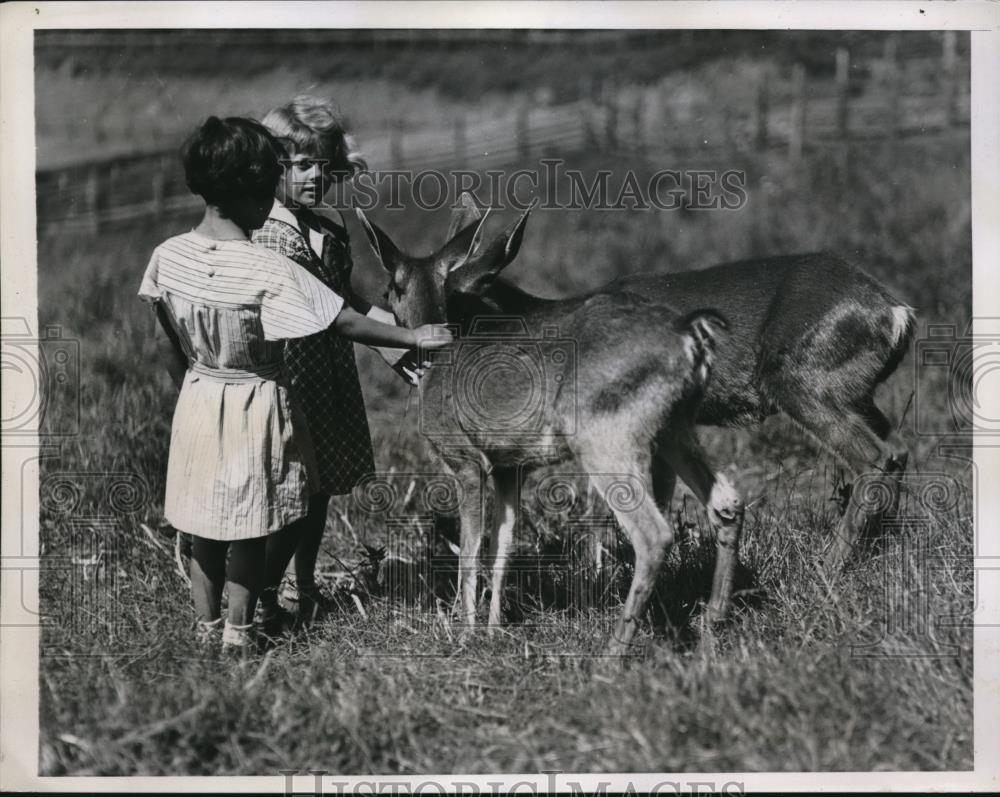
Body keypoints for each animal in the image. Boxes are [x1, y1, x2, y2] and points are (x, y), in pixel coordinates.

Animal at [358, 201, 744, 652]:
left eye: (389, 288)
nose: (381, 301)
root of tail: (690, 336)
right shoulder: (511, 466)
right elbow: (502, 544)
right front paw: (494, 629)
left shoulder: (464, 456)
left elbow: (469, 549)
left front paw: (466, 632)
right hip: (676, 426)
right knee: (726, 502)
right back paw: (712, 624)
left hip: (606, 434)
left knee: (654, 535)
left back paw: (614, 649)